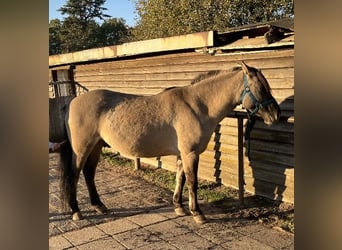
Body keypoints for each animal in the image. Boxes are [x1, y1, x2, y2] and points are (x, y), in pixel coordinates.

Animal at [58, 61, 280, 225]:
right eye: (261, 88)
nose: (276, 114)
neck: (198, 105)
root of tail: (72, 102)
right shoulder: (191, 153)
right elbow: (192, 182)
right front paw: (197, 213)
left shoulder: (183, 153)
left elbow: (180, 179)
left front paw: (179, 207)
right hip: (82, 149)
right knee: (74, 176)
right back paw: (77, 211)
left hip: (95, 147)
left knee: (89, 175)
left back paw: (99, 206)